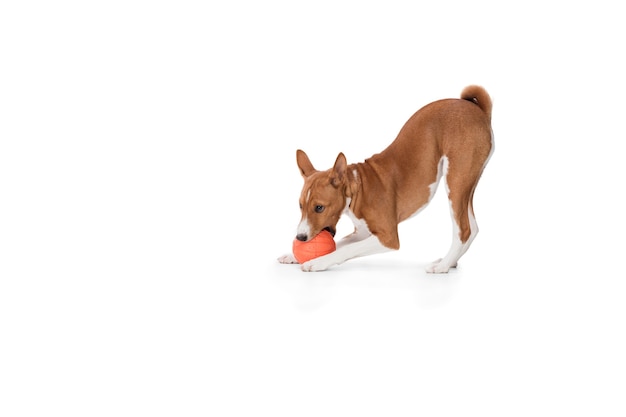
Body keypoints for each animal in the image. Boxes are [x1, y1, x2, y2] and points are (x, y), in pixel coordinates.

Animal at [278, 86, 492, 272]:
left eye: (319, 208)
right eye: (300, 206)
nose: (300, 237)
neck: (359, 190)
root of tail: (477, 109)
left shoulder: (388, 237)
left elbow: (347, 249)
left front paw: (317, 262)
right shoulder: (362, 232)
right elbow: (338, 244)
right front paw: (294, 255)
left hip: (455, 184)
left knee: (463, 230)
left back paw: (443, 266)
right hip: (466, 186)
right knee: (473, 228)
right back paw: (449, 261)